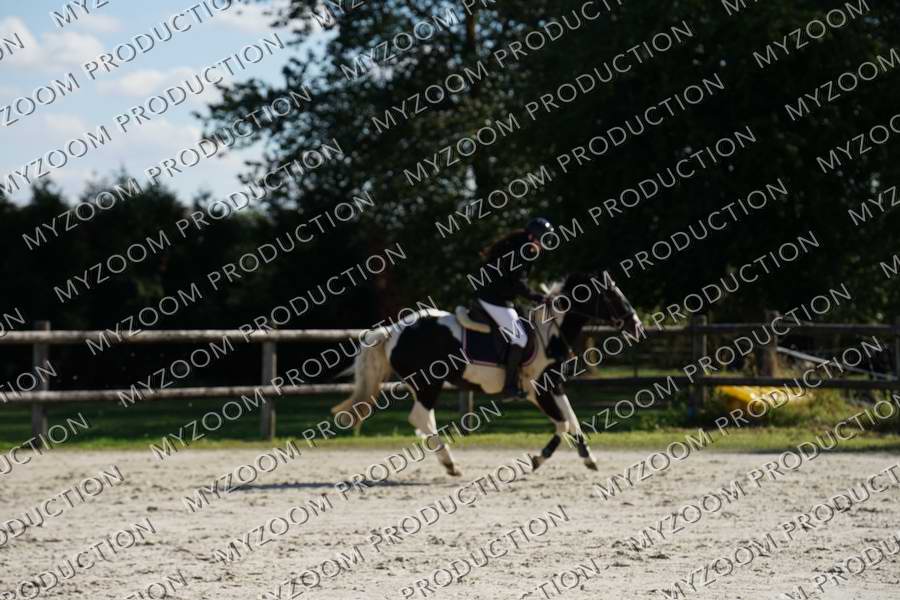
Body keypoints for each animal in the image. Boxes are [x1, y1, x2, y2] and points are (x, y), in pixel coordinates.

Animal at [330, 271, 644, 476]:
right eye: (612, 296)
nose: (637, 325)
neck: (549, 331)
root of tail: (394, 330)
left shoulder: (553, 386)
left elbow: (573, 420)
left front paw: (588, 457)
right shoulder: (538, 390)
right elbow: (563, 423)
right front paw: (538, 459)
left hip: (425, 385)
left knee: (424, 420)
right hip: (428, 383)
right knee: (420, 418)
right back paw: (450, 463)